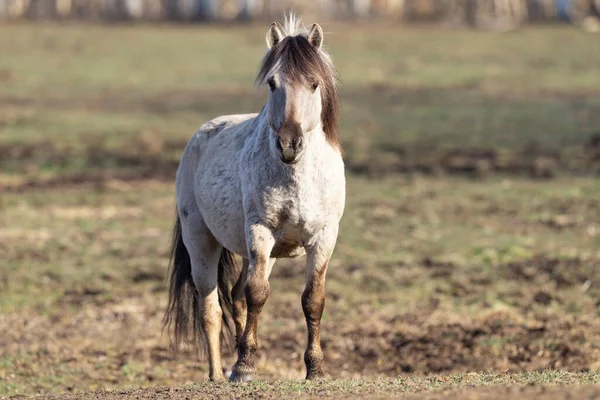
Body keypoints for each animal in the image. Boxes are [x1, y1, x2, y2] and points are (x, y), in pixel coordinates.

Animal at [162, 14, 344, 382]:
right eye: (273, 83)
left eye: (314, 84)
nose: (289, 144)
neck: (298, 176)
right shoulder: (260, 231)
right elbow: (258, 293)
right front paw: (244, 367)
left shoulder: (324, 237)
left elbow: (313, 299)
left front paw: (315, 368)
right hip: (202, 241)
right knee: (211, 308)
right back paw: (218, 375)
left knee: (236, 298)